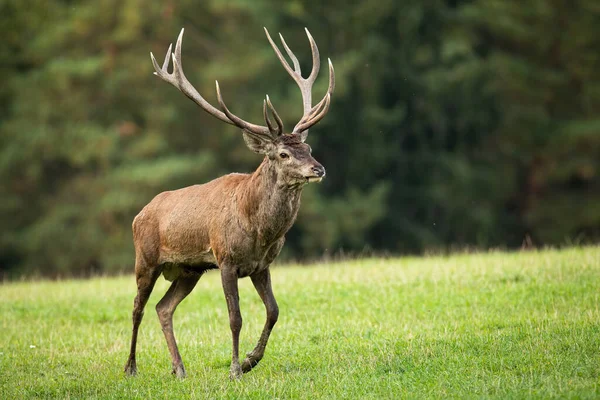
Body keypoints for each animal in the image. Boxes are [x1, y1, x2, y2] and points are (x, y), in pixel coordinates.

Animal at [124, 26, 336, 380]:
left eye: (307, 148)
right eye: (283, 153)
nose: (318, 169)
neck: (260, 231)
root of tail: (139, 214)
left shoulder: (261, 265)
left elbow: (274, 311)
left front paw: (251, 360)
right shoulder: (226, 259)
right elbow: (235, 318)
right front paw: (236, 368)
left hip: (189, 269)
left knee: (163, 307)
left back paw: (179, 368)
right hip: (147, 258)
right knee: (137, 308)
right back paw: (130, 367)